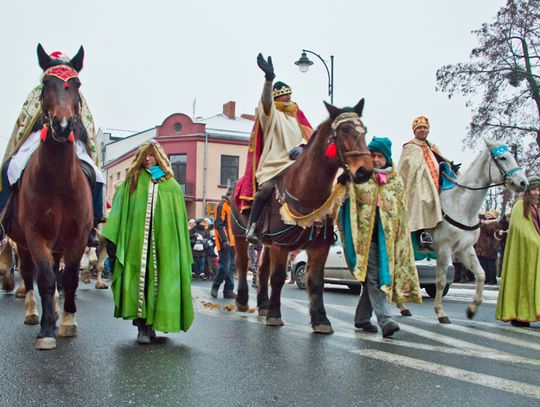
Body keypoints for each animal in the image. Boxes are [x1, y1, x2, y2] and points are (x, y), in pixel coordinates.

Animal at [7, 45, 93, 350]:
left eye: (76, 84)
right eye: (46, 84)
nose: (63, 125)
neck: (58, 182)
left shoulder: (78, 236)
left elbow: (69, 279)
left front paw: (67, 321)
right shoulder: (35, 235)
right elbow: (44, 279)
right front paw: (46, 329)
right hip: (22, 243)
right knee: (29, 274)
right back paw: (34, 312)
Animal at [230, 100, 374, 334]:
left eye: (364, 130)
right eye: (344, 130)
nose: (365, 171)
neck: (307, 193)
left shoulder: (318, 247)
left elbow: (315, 282)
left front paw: (321, 320)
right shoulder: (281, 245)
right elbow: (278, 278)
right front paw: (274, 315)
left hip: (266, 243)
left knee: (261, 270)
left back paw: (262, 304)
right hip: (240, 236)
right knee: (242, 264)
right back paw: (243, 301)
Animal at [428, 139, 524, 324]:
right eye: (502, 157)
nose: (523, 182)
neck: (460, 206)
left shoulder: (464, 249)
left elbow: (481, 274)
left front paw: (472, 309)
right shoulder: (444, 249)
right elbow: (441, 282)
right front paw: (440, 312)